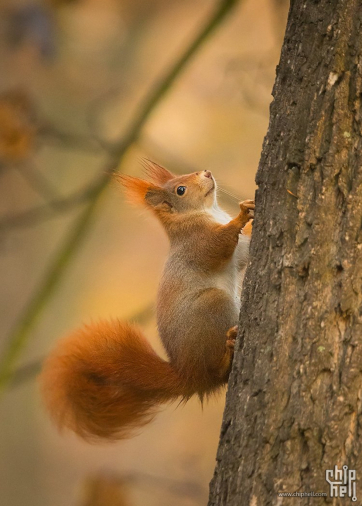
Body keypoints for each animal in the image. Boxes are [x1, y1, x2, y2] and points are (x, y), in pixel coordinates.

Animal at [39, 164, 253, 440]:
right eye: (180, 190)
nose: (206, 172)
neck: (206, 212)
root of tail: (187, 373)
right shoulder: (197, 244)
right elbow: (218, 245)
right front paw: (240, 216)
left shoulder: (238, 251)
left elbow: (244, 254)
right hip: (212, 307)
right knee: (216, 372)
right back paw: (228, 351)